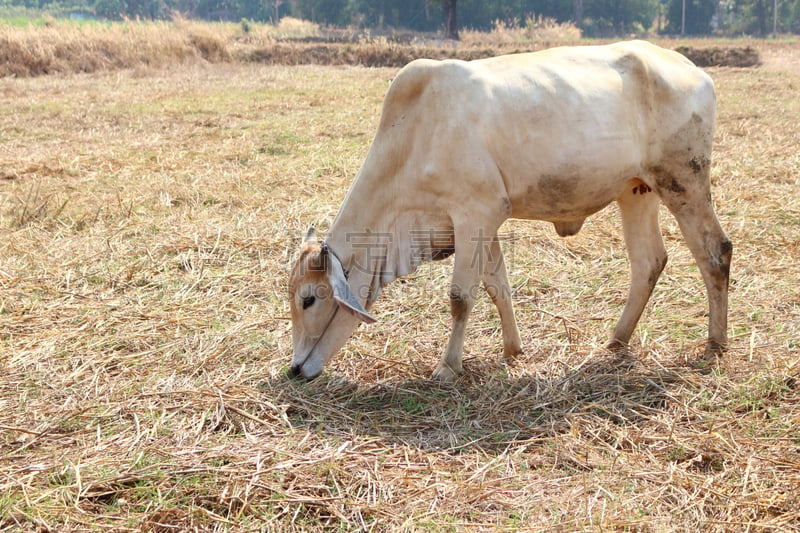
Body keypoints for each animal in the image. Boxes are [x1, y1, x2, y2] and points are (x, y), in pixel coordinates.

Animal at [288, 41, 732, 382]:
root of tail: (692, 68)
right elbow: (496, 286)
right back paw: (617, 338)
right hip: (637, 191)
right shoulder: (482, 223)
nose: (294, 369)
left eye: (309, 299)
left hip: (684, 182)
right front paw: (512, 349)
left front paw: (447, 368)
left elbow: (461, 296)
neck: (413, 136)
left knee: (715, 252)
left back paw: (716, 342)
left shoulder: (474, 212)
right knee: (648, 262)